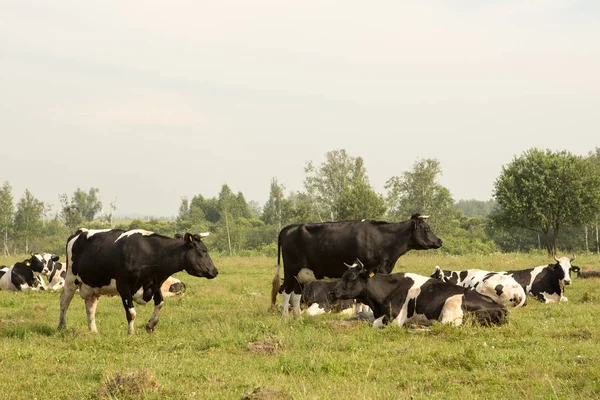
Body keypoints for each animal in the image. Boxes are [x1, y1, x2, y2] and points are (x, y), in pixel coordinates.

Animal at [57, 228, 218, 334]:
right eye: (203, 251)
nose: (215, 271)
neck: (151, 254)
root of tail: (80, 232)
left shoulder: (155, 284)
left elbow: (160, 303)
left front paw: (150, 326)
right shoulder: (123, 286)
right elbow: (131, 312)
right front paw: (131, 333)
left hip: (94, 286)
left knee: (90, 307)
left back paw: (94, 330)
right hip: (71, 279)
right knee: (64, 301)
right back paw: (61, 327)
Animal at [270, 214, 440, 318]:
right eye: (427, 228)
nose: (439, 241)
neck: (382, 239)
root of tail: (291, 227)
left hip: (301, 274)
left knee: (296, 294)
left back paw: (298, 317)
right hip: (291, 270)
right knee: (286, 292)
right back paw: (286, 316)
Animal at [328, 260, 506, 328]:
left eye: (351, 276)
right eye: (343, 274)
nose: (331, 292)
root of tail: (500, 307)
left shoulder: (394, 318)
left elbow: (374, 324)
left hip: (451, 306)